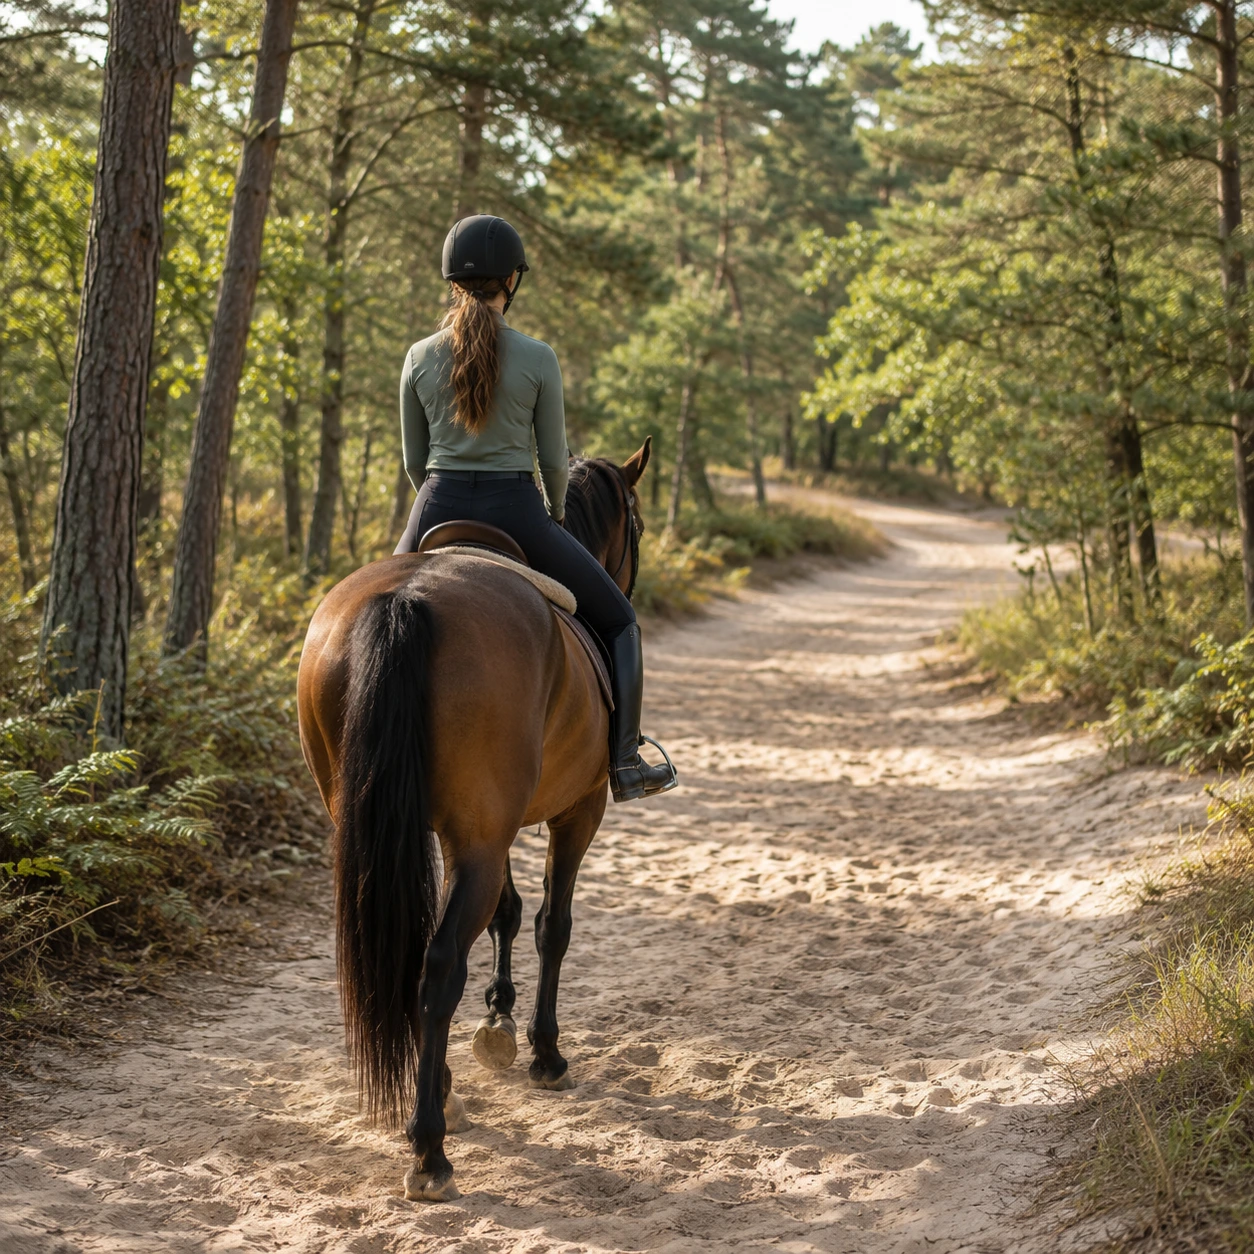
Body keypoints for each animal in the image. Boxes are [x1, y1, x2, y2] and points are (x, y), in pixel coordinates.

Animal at [297, 440, 651, 1202]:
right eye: (636, 526)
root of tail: (405, 599)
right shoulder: (578, 810)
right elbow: (551, 924)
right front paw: (543, 1050)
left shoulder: (486, 826)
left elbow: (509, 914)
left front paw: (498, 1019)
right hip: (490, 838)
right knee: (436, 969)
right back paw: (429, 1148)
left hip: (398, 827)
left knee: (415, 957)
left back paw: (442, 1098)